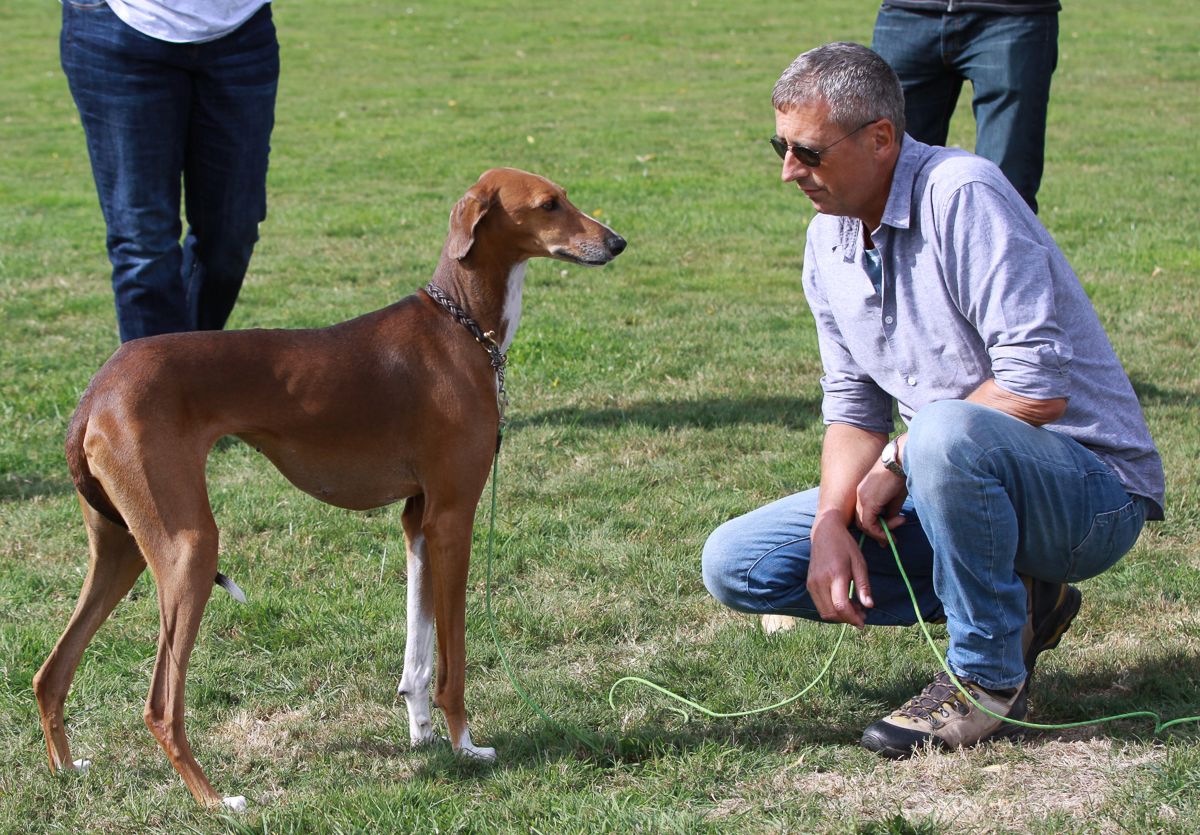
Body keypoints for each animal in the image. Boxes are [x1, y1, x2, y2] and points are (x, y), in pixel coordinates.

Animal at [32, 167, 628, 811]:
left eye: (564, 196)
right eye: (549, 205)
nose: (617, 242)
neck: (459, 323)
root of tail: (96, 390)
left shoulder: (419, 520)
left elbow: (418, 653)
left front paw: (422, 734)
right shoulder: (453, 517)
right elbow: (454, 661)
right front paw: (466, 746)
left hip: (122, 550)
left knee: (51, 672)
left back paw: (67, 772)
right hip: (189, 548)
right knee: (161, 707)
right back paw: (215, 801)